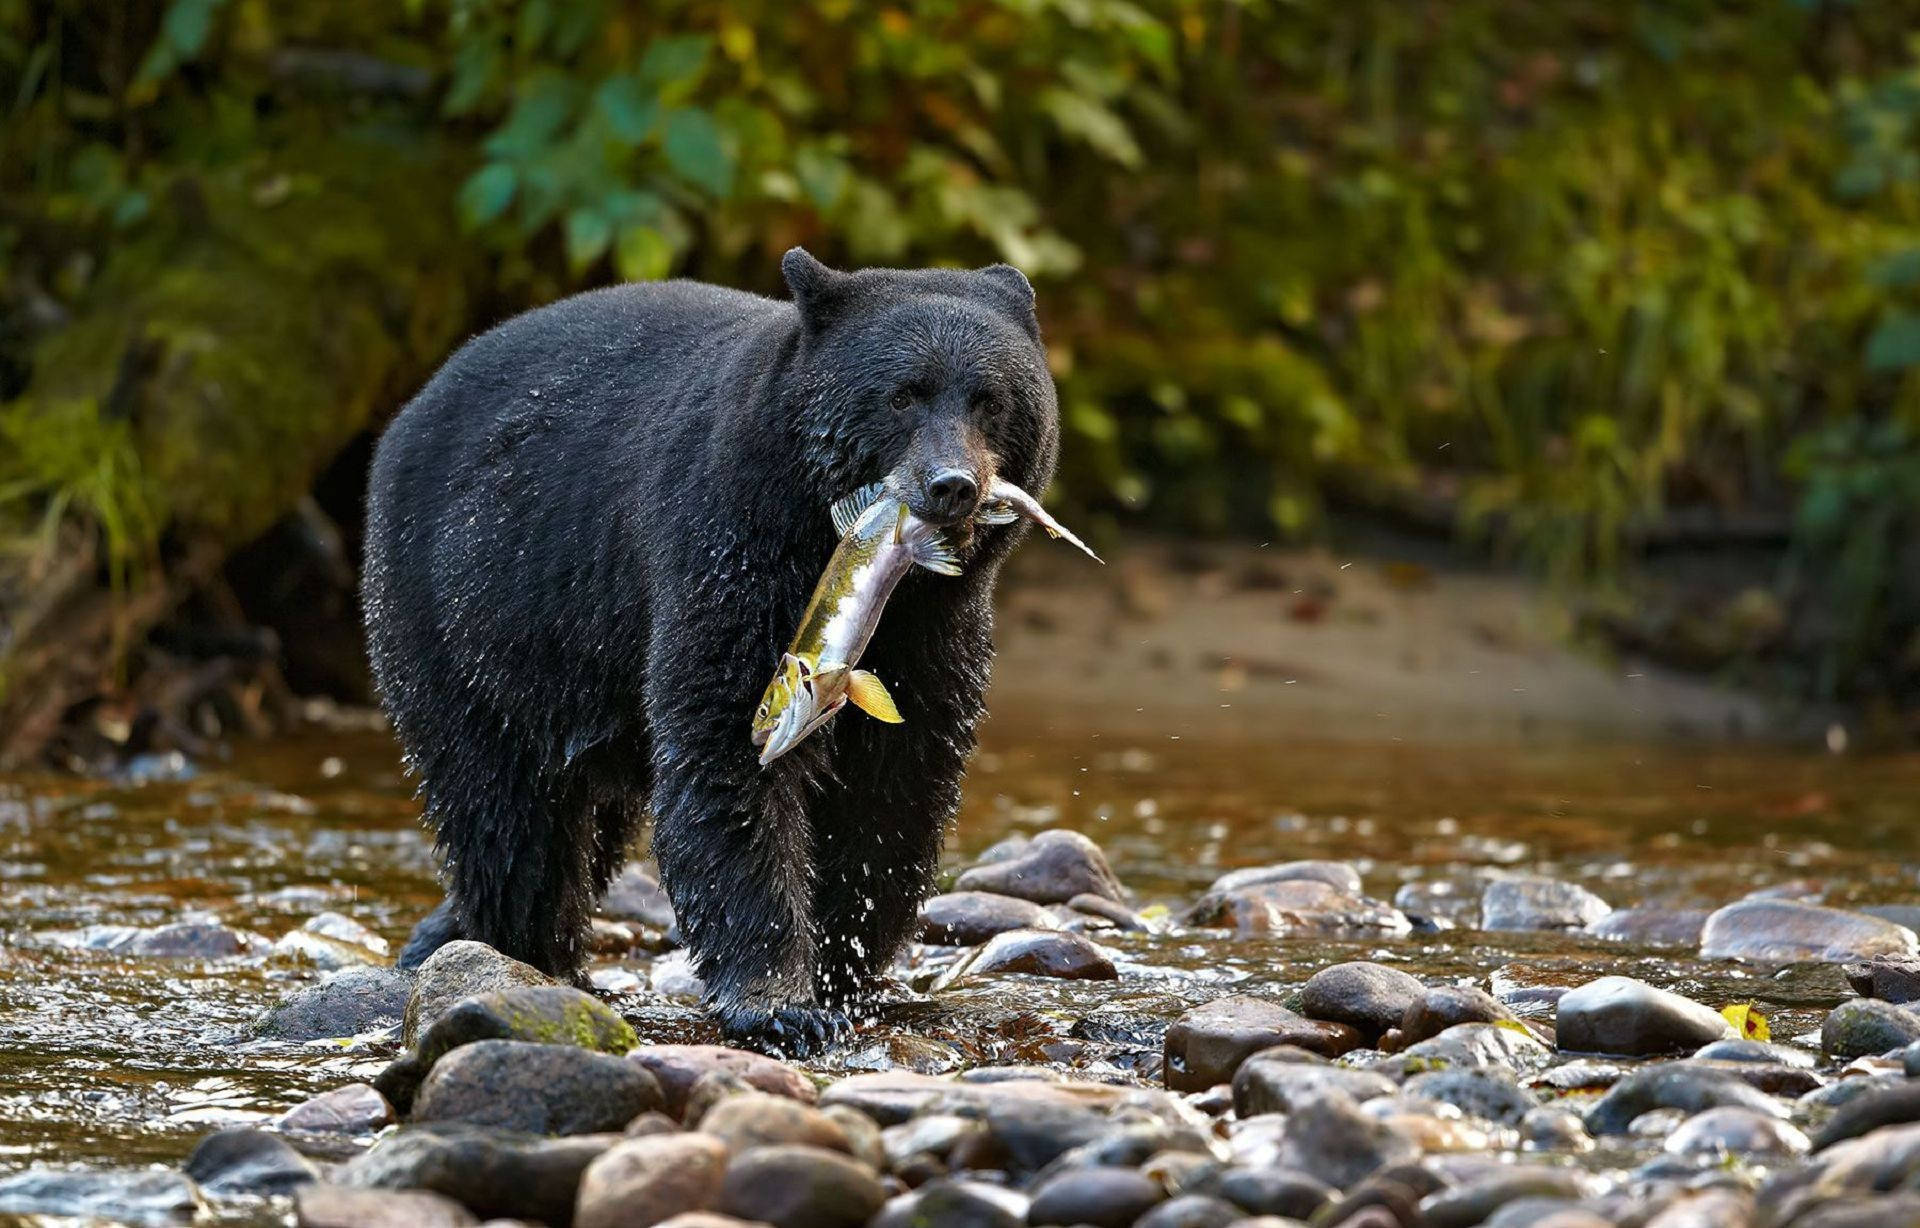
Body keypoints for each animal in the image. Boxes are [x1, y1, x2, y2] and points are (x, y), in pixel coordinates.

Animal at [362, 247, 1060, 1054]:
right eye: (901, 396)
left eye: (990, 400)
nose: (952, 485)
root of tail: (408, 413)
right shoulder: (730, 552)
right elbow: (726, 753)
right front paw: (781, 1002)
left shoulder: (937, 634)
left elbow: (898, 783)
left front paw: (846, 970)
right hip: (461, 623)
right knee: (508, 816)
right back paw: (524, 954)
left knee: (586, 825)